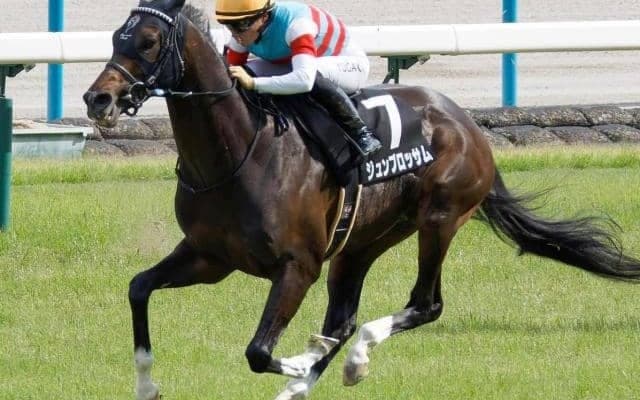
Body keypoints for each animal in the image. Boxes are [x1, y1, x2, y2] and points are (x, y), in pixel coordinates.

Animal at [83, 1, 640, 399]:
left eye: (149, 41)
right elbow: (138, 289)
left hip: (439, 218)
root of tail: (468, 125)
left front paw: (301, 361)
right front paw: (147, 385)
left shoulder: (298, 265)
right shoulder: (209, 256)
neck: (238, 151)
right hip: (362, 240)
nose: (97, 98)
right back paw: (313, 376)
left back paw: (350, 360)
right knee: (343, 319)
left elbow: (259, 351)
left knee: (424, 305)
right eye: (115, 37)